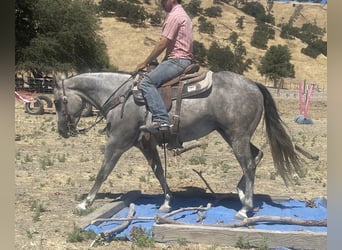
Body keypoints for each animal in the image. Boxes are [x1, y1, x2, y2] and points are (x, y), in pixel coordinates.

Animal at [53, 70, 302, 219]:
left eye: (56, 101)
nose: (62, 131)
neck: (122, 97)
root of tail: (254, 84)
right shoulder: (145, 145)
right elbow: (159, 172)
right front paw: (166, 202)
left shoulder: (117, 142)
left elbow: (103, 171)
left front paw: (85, 203)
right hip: (230, 135)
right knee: (257, 156)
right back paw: (241, 194)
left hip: (237, 137)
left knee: (248, 165)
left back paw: (245, 208)